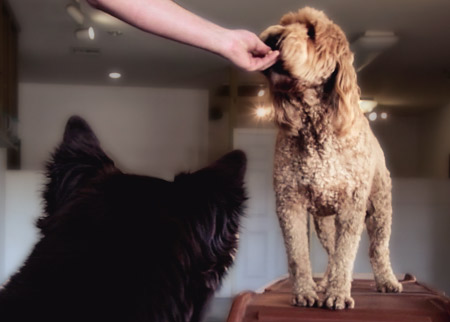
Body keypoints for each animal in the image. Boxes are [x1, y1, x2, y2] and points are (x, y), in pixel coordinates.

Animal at [258, 7, 402, 310]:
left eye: (312, 32)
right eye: (285, 23)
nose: (272, 37)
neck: (314, 126)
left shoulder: (352, 207)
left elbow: (347, 254)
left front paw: (338, 294)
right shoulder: (290, 203)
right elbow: (298, 255)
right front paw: (305, 292)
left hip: (380, 208)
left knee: (377, 249)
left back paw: (387, 281)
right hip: (323, 221)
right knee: (332, 250)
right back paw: (323, 282)